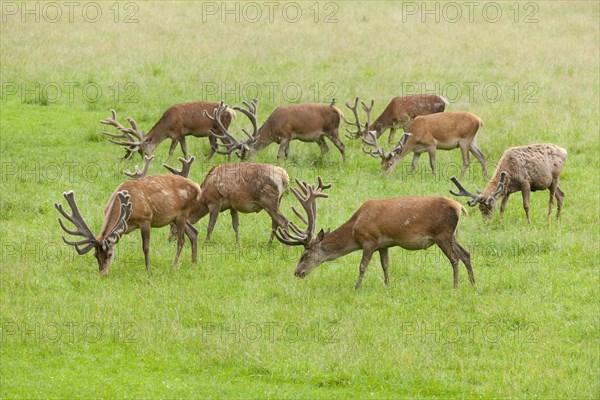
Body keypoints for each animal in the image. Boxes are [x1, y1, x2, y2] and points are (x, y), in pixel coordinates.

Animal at [56, 159, 202, 276]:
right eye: (95, 255)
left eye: (109, 254)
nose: (102, 273)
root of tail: (197, 187)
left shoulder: (146, 219)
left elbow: (146, 247)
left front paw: (148, 270)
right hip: (176, 218)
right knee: (194, 232)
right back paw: (194, 262)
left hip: (182, 214)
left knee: (181, 240)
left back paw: (174, 265)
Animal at [102, 101, 236, 160]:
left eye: (143, 151)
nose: (144, 160)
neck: (167, 127)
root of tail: (232, 111)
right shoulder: (182, 134)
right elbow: (185, 150)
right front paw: (187, 160)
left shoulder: (177, 133)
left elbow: (171, 151)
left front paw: (168, 162)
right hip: (212, 132)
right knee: (214, 146)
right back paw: (206, 161)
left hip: (220, 129)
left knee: (228, 145)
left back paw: (228, 161)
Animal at [206, 99, 346, 160]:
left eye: (245, 156)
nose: (243, 164)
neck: (272, 129)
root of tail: (339, 111)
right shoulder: (288, 138)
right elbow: (287, 154)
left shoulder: (285, 135)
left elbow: (279, 155)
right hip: (319, 136)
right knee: (325, 148)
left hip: (332, 130)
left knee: (341, 146)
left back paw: (343, 163)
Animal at [274, 177, 476, 288]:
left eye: (305, 254)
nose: (297, 272)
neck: (355, 229)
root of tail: (459, 207)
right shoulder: (383, 244)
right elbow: (385, 265)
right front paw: (388, 285)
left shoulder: (369, 240)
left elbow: (362, 266)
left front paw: (356, 287)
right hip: (452, 235)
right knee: (466, 254)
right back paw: (473, 284)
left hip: (442, 234)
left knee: (454, 258)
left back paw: (456, 286)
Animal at [352, 99, 488, 178]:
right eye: (381, 163)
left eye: (389, 163)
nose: (383, 176)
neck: (414, 137)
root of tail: (479, 120)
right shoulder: (417, 150)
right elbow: (413, 164)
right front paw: (411, 177)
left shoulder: (432, 144)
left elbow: (432, 163)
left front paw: (434, 177)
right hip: (472, 141)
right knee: (481, 156)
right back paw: (485, 177)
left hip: (465, 140)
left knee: (466, 161)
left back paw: (460, 178)